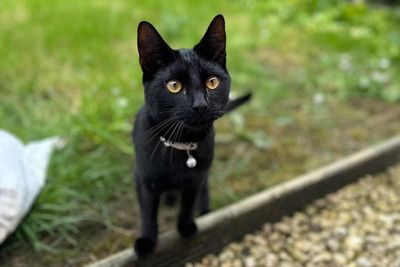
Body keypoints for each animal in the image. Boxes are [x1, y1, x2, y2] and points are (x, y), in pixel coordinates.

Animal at [133, 14, 252, 258]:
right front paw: (147, 242)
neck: (182, 144)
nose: (200, 104)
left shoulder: (196, 177)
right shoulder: (144, 180)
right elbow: (148, 212)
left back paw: (206, 211)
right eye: (174, 86)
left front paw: (187, 227)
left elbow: (189, 202)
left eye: (212, 82)